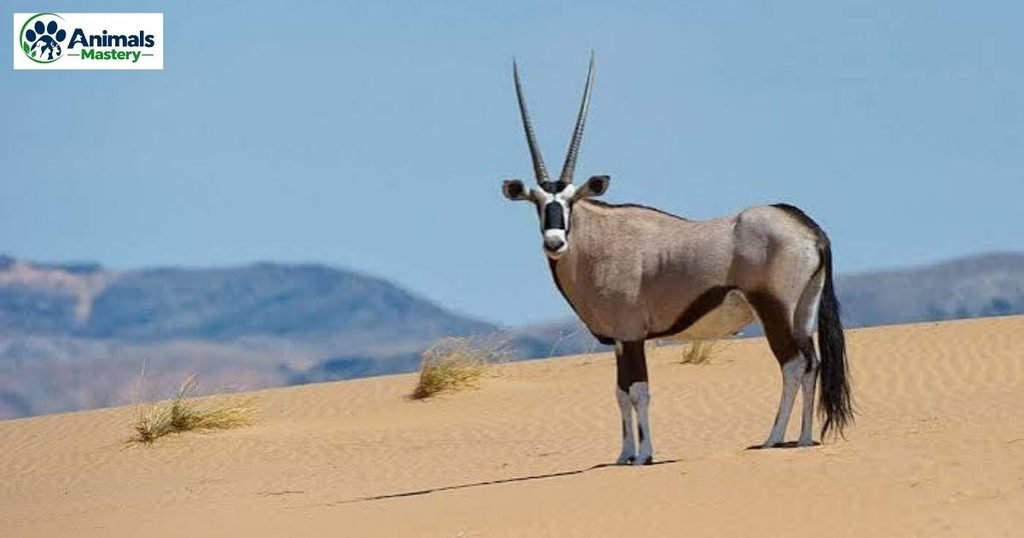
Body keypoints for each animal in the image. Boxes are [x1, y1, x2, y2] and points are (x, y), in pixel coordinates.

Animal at [501, 57, 853, 465]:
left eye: (571, 200)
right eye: (539, 203)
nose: (554, 242)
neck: (598, 241)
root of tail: (808, 228)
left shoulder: (632, 334)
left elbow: (638, 391)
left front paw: (644, 456)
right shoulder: (619, 340)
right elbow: (620, 393)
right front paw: (624, 455)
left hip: (774, 310)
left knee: (794, 364)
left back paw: (773, 439)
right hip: (803, 312)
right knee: (812, 364)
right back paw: (804, 439)